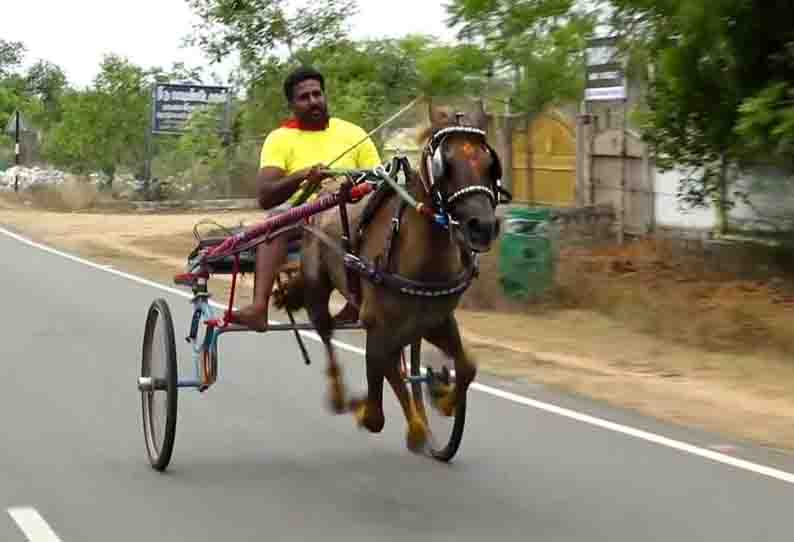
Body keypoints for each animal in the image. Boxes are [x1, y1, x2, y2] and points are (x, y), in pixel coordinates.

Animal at [276, 104, 504, 452]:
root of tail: (324, 194)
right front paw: (366, 409)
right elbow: (375, 414)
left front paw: (443, 400)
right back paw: (342, 396)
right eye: (444, 164)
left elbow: (466, 368)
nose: (482, 227)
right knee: (326, 330)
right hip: (317, 285)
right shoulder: (378, 324)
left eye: (490, 163)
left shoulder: (436, 320)